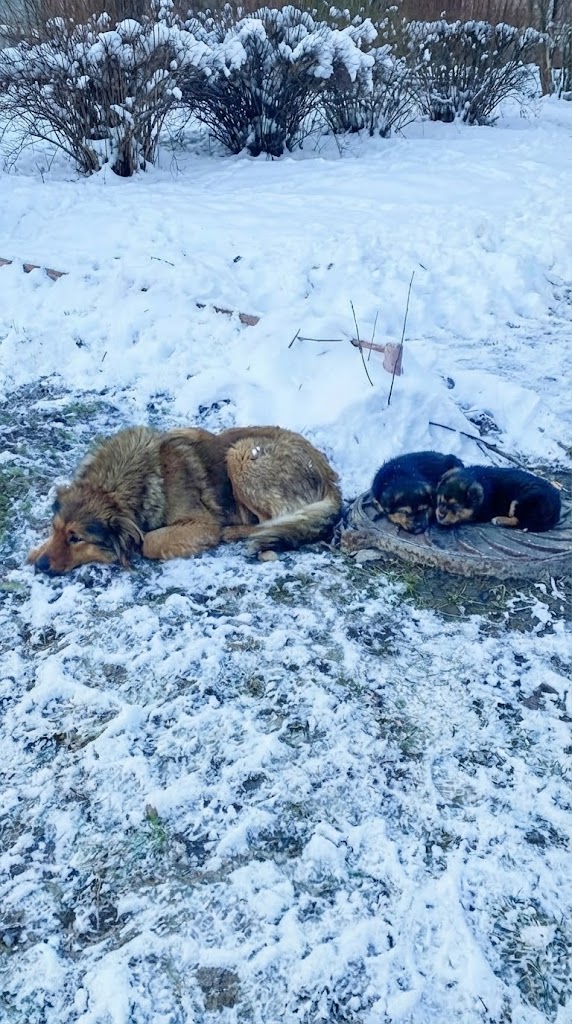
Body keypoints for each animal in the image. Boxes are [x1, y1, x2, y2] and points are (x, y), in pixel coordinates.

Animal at [27, 425, 342, 575]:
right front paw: (36, 550)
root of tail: (329, 475)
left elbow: (148, 541)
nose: (40, 567)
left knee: (272, 520)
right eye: (56, 530)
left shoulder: (201, 524)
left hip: (242, 454)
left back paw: (235, 533)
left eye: (76, 538)